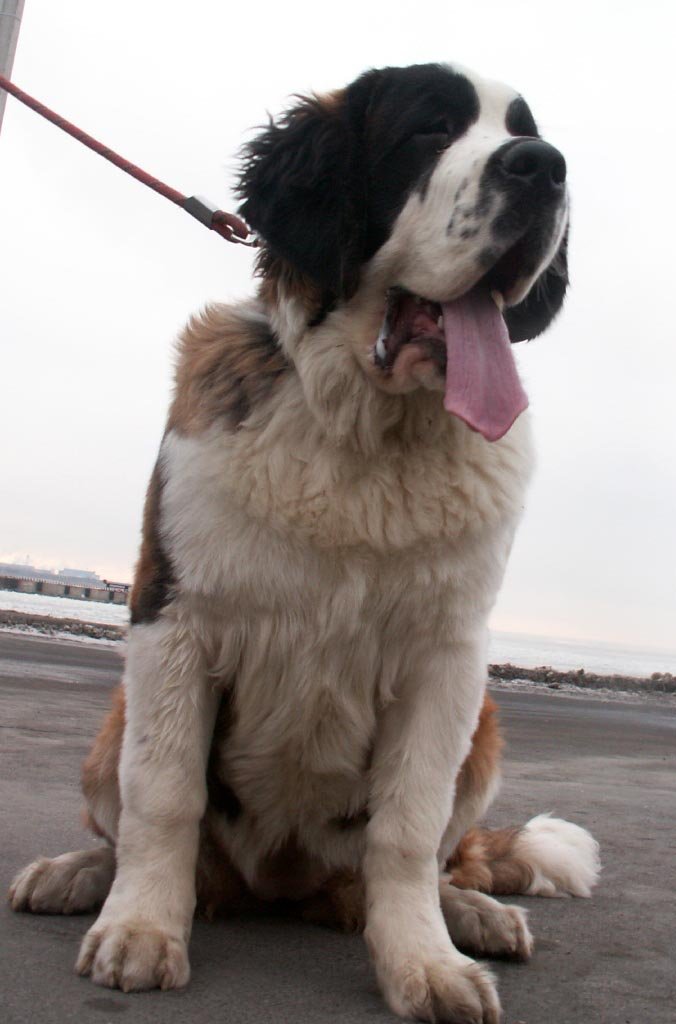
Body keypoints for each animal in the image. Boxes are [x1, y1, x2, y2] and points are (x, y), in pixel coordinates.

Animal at [9, 63, 600, 1023]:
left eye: (525, 132)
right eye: (430, 130)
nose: (542, 168)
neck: (366, 430)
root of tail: (280, 888)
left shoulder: (449, 663)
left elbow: (407, 830)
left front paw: (423, 964)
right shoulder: (174, 623)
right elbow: (163, 796)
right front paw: (140, 930)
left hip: (484, 730)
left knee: (424, 862)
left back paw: (468, 912)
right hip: (116, 720)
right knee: (136, 824)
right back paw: (79, 876)